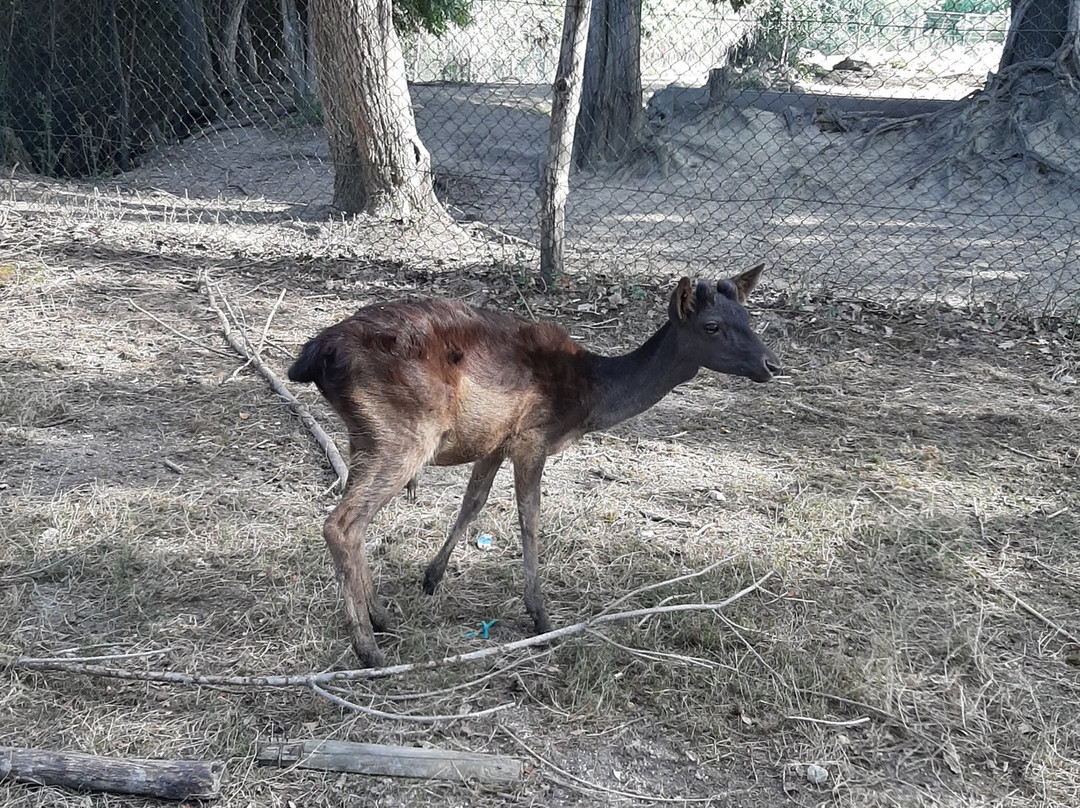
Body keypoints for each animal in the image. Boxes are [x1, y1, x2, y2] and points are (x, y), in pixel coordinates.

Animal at [287, 263, 777, 661]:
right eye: (712, 326)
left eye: (749, 319)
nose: (772, 363)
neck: (589, 398)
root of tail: (313, 356)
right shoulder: (531, 437)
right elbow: (530, 519)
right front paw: (540, 615)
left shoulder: (493, 442)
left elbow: (473, 502)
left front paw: (431, 577)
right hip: (402, 435)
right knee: (342, 524)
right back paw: (367, 647)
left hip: (365, 436)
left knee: (355, 523)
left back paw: (382, 617)